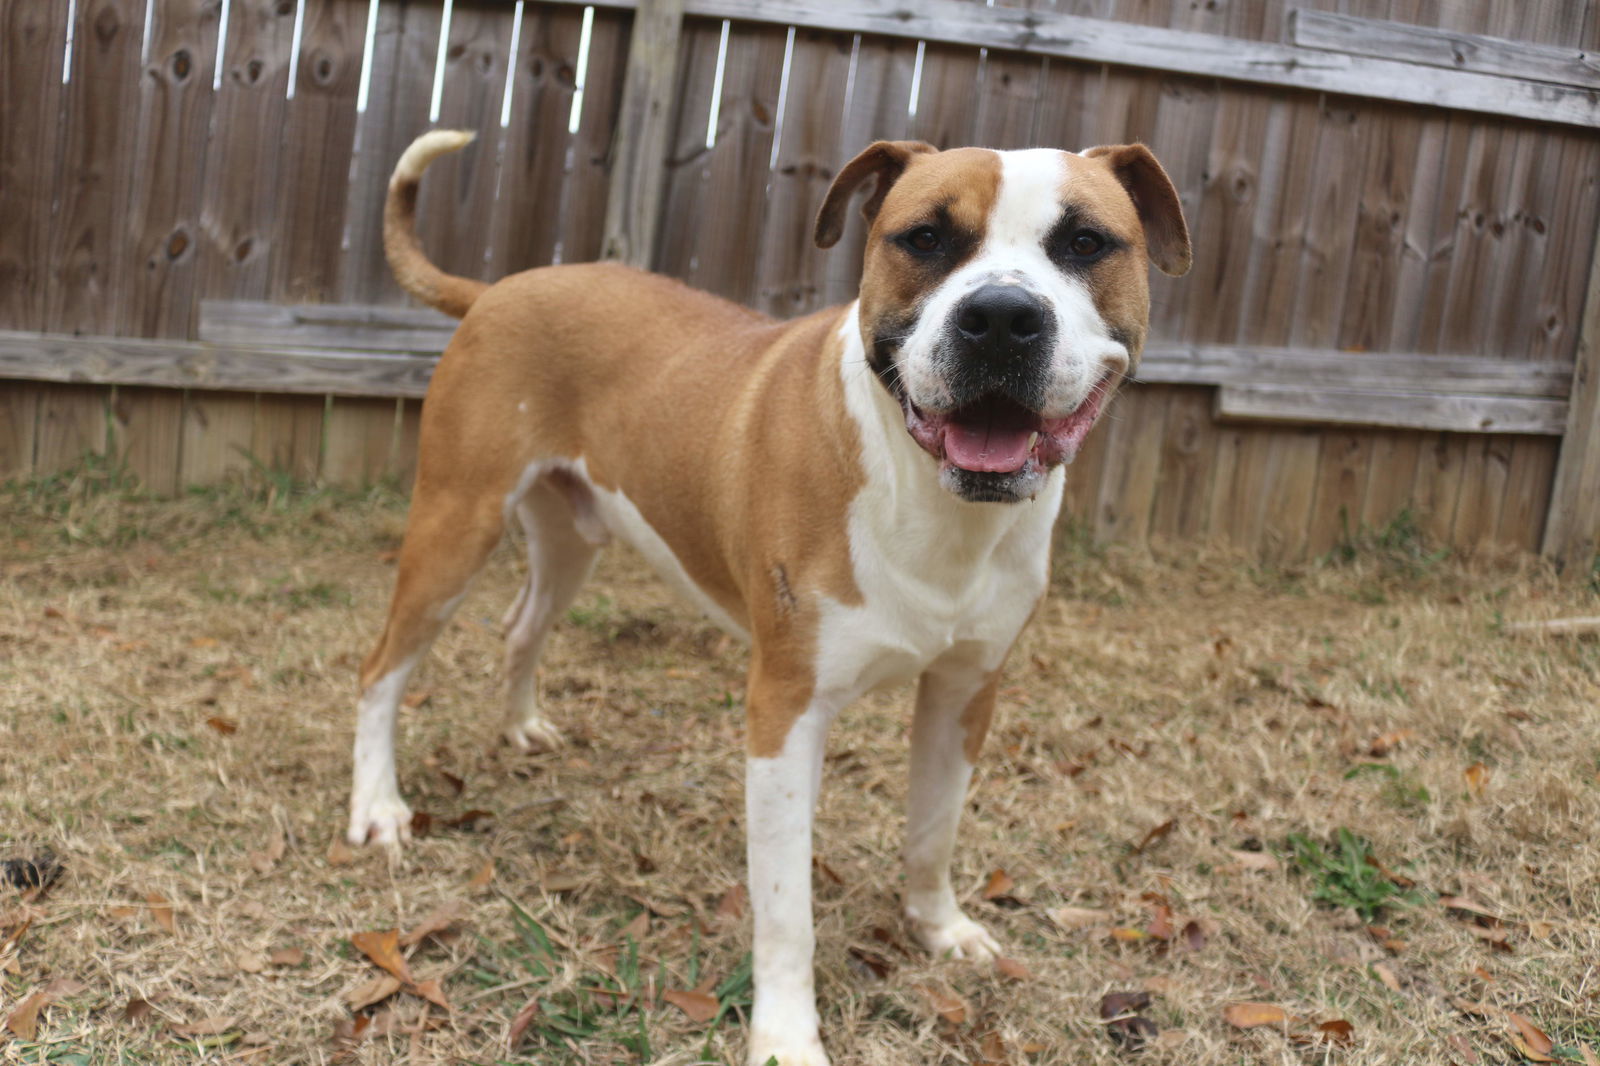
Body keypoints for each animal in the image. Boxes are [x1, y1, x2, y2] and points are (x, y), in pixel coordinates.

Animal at [347, 126, 1190, 1062]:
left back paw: (522, 723)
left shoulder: (966, 692)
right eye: (925, 237)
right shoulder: (784, 714)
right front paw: (786, 1035)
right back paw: (378, 806)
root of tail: (499, 288)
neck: (932, 501)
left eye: (1085, 243)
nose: (1002, 317)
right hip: (452, 531)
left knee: (521, 624)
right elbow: (787, 909)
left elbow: (934, 828)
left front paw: (937, 927)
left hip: (570, 539)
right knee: (381, 670)